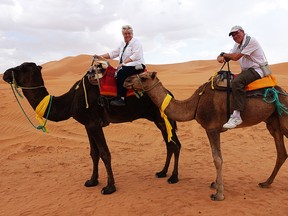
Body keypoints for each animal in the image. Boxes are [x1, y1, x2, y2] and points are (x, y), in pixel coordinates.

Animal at [2, 62, 182, 194]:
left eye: (20, 68)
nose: (5, 74)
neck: (71, 101)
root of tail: (170, 94)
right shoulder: (88, 125)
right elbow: (93, 154)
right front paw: (92, 181)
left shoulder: (94, 124)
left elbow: (105, 153)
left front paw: (109, 187)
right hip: (160, 121)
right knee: (169, 144)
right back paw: (162, 172)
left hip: (162, 118)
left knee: (176, 145)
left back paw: (173, 177)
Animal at [123, 71, 288, 201]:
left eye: (143, 77)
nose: (126, 80)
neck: (195, 103)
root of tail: (283, 92)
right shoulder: (211, 129)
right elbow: (216, 156)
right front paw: (215, 184)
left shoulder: (212, 128)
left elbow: (217, 159)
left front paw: (219, 194)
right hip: (273, 121)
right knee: (281, 153)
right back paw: (266, 182)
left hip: (284, 118)